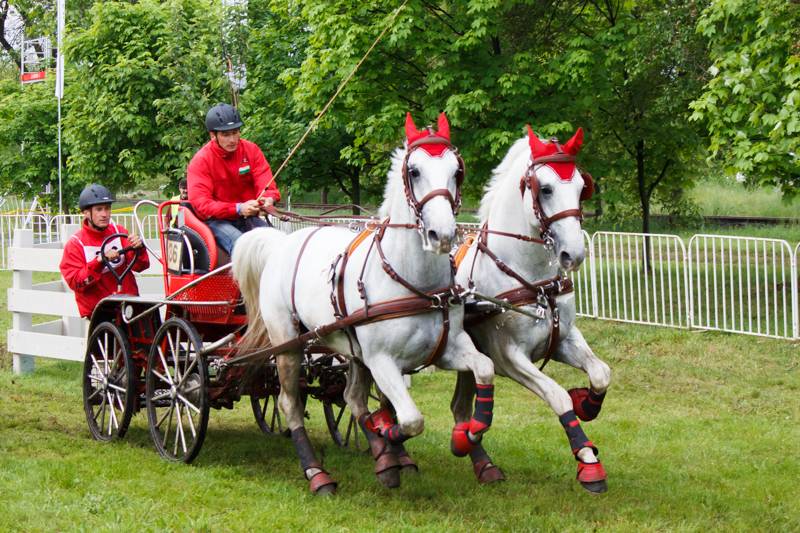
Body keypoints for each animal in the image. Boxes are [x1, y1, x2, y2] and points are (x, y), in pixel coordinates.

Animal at [233, 113, 497, 495]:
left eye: (456, 171)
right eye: (414, 171)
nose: (443, 235)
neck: (415, 284)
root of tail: (281, 242)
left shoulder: (449, 348)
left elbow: (485, 369)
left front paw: (467, 436)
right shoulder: (382, 360)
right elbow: (411, 420)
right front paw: (389, 434)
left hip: (349, 347)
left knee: (352, 397)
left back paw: (385, 461)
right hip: (288, 344)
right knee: (290, 403)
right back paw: (318, 472)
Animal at [450, 126, 611, 493]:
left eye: (581, 187)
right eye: (546, 188)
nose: (573, 254)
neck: (533, 280)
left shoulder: (563, 338)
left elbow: (600, 373)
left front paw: (586, 402)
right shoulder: (508, 357)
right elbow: (557, 396)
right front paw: (588, 461)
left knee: (460, 409)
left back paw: (481, 461)